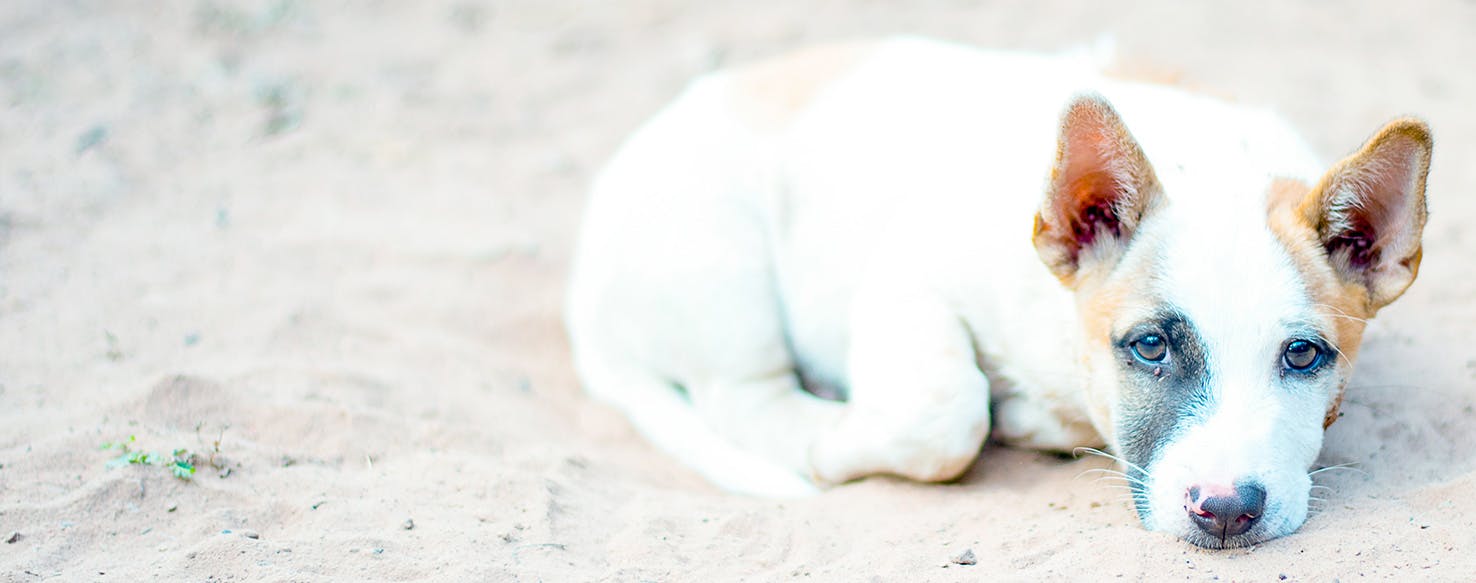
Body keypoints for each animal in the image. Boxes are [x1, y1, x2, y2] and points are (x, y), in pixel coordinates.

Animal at [563, 37, 1428, 549]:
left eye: (1303, 355)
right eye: (1149, 345)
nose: (1226, 511)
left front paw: (1028, 415)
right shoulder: (906, 278)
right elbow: (944, 417)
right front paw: (847, 442)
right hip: (722, 264)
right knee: (743, 398)